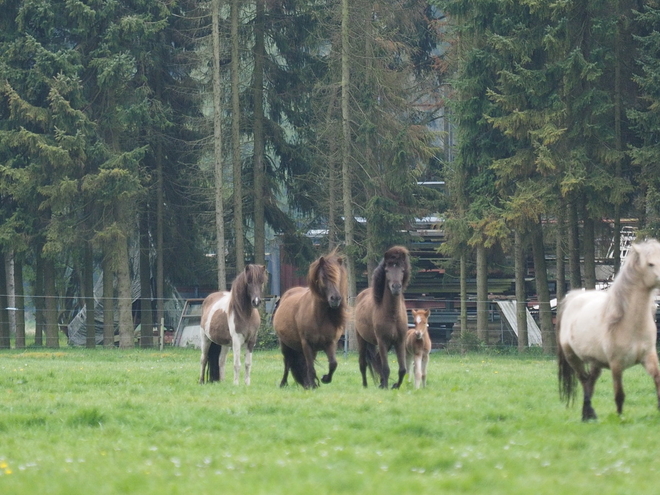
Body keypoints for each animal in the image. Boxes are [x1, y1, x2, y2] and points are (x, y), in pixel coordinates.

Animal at [270, 250, 348, 390]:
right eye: (324, 277)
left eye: (339, 277)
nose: (335, 299)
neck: (319, 317)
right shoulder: (306, 344)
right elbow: (310, 367)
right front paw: (312, 384)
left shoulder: (330, 343)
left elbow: (333, 364)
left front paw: (324, 379)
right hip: (285, 344)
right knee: (287, 363)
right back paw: (284, 383)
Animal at [354, 246, 410, 390]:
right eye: (387, 270)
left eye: (402, 270)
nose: (396, 287)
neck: (393, 315)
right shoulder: (382, 341)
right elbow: (386, 368)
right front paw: (385, 386)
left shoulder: (399, 341)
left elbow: (402, 369)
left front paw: (395, 385)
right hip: (361, 340)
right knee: (363, 363)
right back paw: (365, 385)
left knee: (377, 359)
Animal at [560, 240, 660, 422]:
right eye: (650, 264)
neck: (630, 324)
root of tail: (574, 297)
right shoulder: (616, 364)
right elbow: (619, 394)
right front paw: (620, 418)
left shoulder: (649, 357)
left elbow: (657, 380)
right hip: (573, 358)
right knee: (584, 381)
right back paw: (588, 414)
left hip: (595, 362)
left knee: (590, 382)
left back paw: (588, 415)